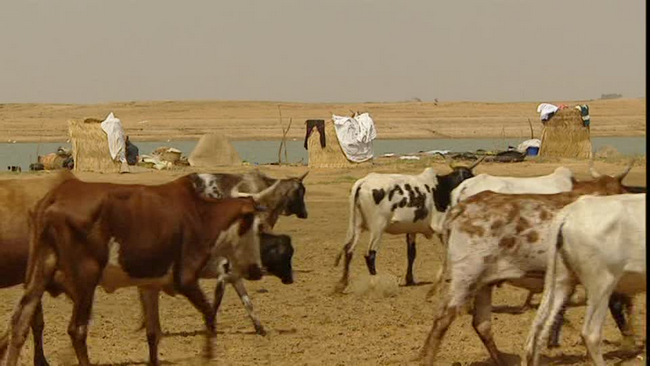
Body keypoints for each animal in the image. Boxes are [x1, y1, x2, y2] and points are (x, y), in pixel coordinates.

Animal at [0, 174, 264, 366]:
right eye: (254, 227)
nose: (257, 270)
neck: (200, 214)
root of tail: (55, 196)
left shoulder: (149, 284)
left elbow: (153, 333)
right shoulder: (186, 278)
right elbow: (209, 315)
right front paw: (208, 355)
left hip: (39, 271)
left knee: (21, 324)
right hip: (86, 278)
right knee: (77, 330)